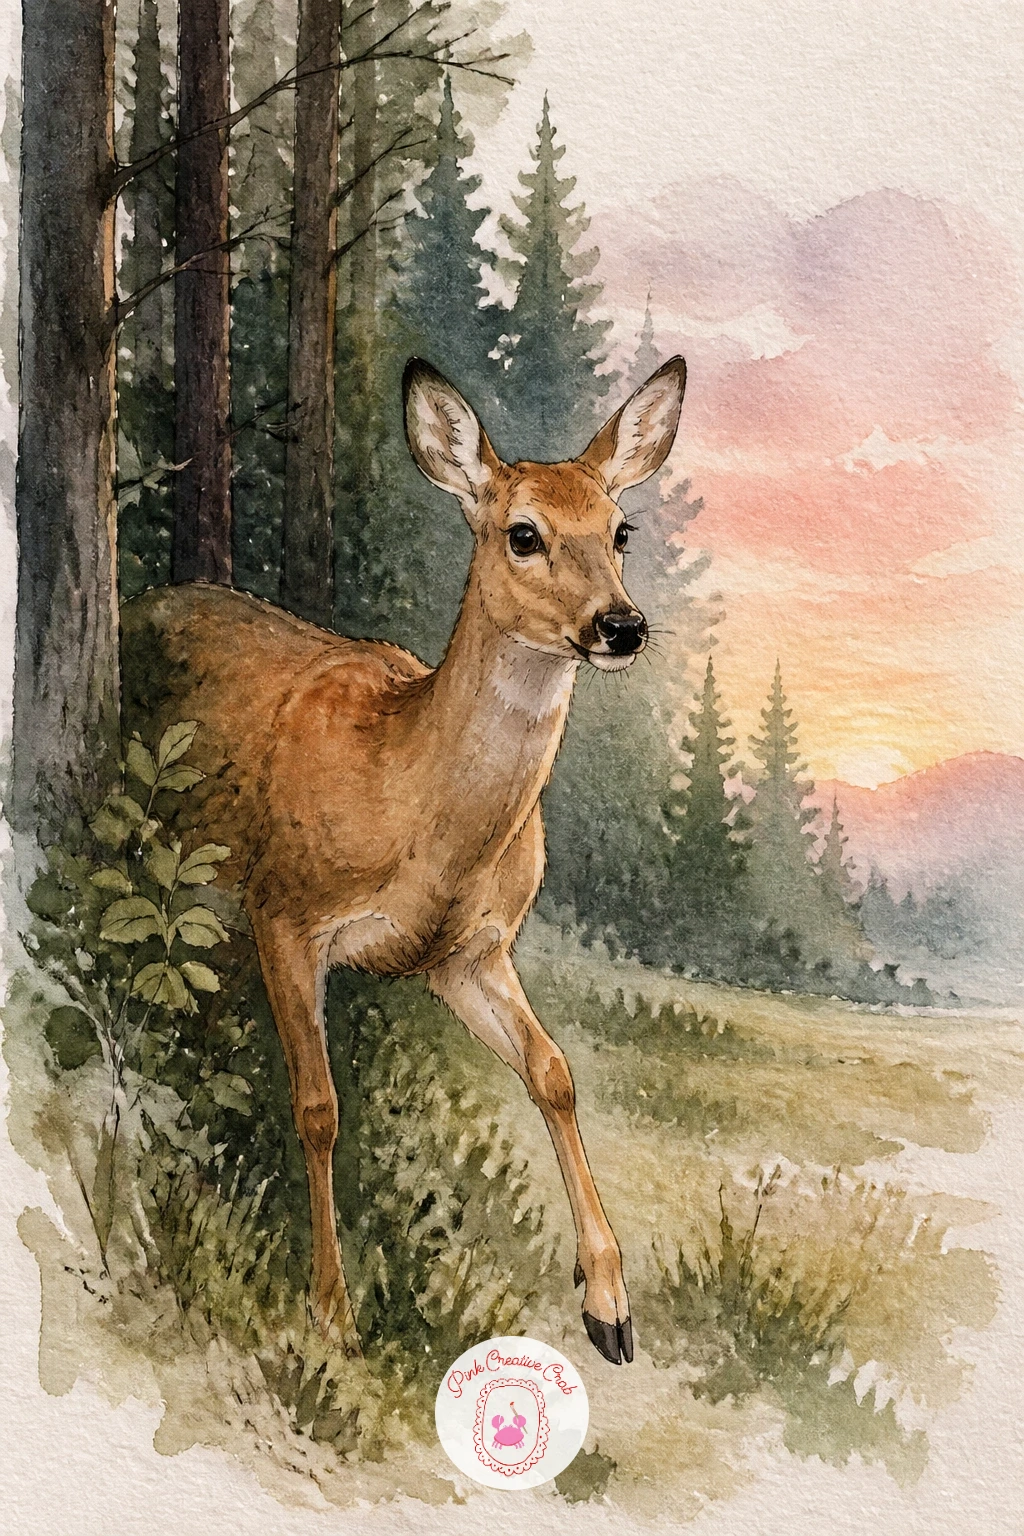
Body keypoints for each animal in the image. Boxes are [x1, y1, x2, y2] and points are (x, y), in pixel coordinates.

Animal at [121, 353, 687, 1367]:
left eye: (622, 528)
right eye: (523, 533)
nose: (621, 625)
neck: (420, 815)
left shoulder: (468, 953)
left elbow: (554, 1073)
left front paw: (610, 1306)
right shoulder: (285, 909)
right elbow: (318, 1108)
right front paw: (331, 1315)